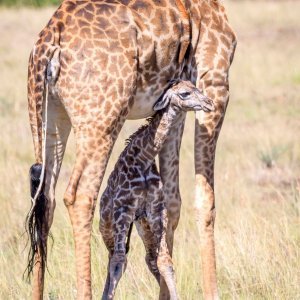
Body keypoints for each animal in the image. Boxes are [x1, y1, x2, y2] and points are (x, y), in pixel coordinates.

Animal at [99, 80, 214, 300]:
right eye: (185, 93)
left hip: (142, 224)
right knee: (113, 258)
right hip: (108, 226)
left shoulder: (155, 209)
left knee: (149, 258)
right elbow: (119, 262)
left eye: (196, 86)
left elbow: (164, 261)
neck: (143, 159)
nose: (209, 103)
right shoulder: (123, 210)